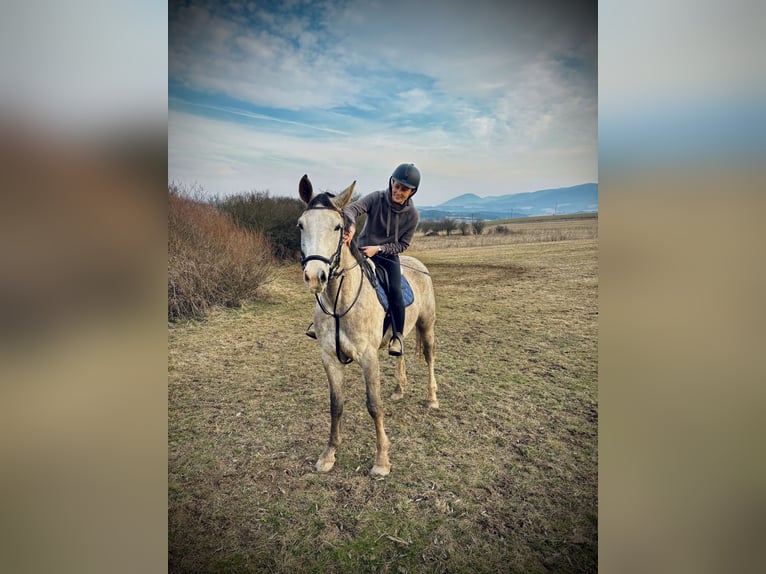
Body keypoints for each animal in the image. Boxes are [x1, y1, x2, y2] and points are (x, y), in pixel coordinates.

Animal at [298, 174, 439, 477]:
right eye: (301, 225)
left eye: (338, 227)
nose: (315, 277)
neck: (340, 302)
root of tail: (417, 263)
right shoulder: (330, 358)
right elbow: (336, 405)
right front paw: (329, 455)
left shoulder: (368, 357)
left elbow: (374, 405)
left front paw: (382, 460)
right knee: (400, 352)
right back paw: (399, 390)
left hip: (427, 326)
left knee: (431, 357)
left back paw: (432, 399)